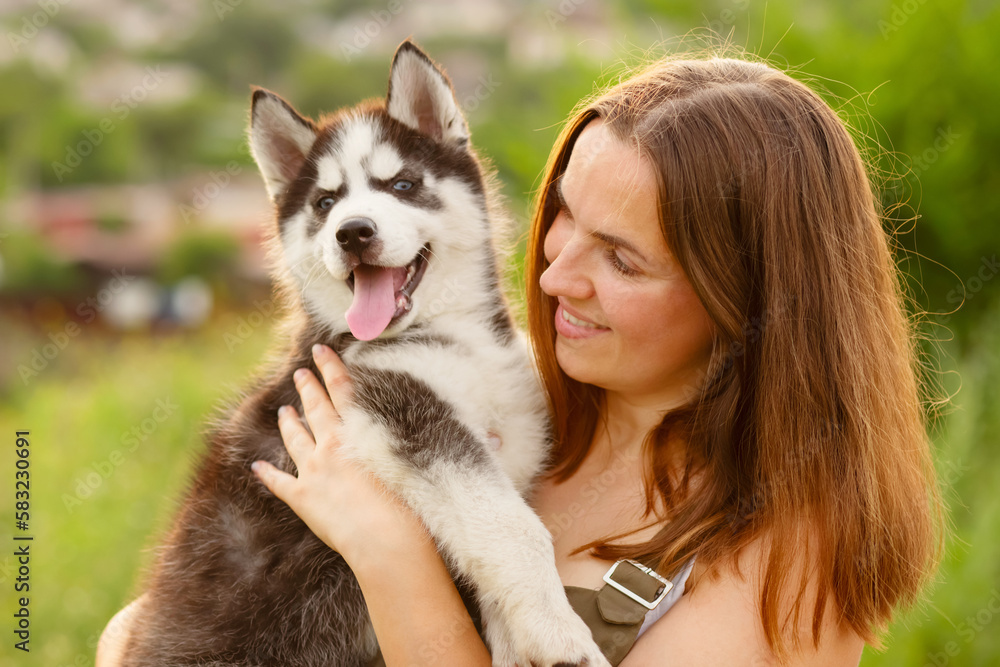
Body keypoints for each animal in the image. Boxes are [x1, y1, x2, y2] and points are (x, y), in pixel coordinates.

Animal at [125, 41, 608, 667]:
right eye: (325, 202)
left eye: (401, 185)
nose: (352, 232)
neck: (452, 337)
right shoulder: (397, 412)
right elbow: (516, 531)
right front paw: (561, 636)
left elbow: (494, 551)